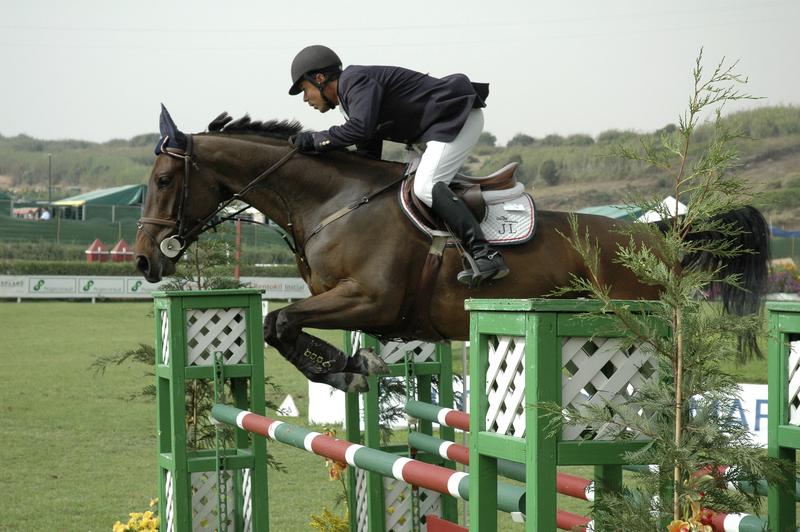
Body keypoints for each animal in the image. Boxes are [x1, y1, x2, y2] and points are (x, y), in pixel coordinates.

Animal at [135, 106, 769, 392]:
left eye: (163, 181)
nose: (144, 260)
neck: (335, 200)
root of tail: (660, 234)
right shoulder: (344, 301)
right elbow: (280, 326)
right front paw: (351, 368)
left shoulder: (370, 299)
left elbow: (280, 321)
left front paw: (352, 371)